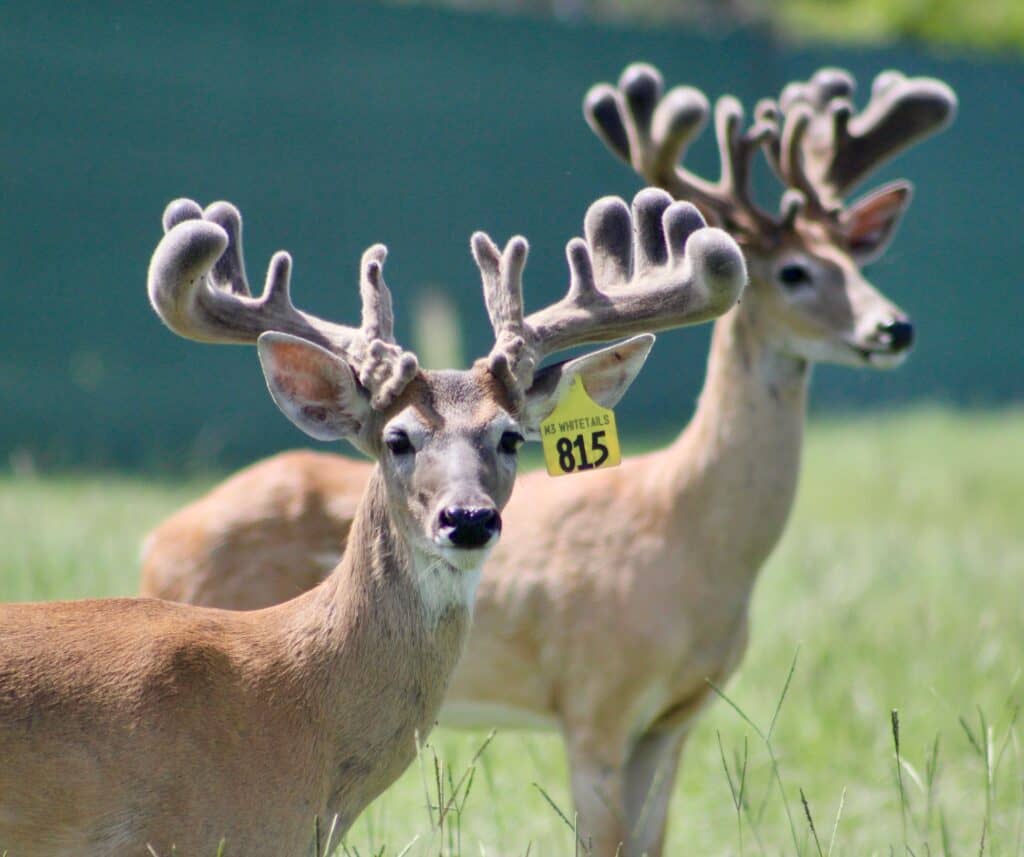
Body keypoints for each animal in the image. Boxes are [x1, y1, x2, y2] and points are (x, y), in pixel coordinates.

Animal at [137, 65, 956, 855]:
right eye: (793, 272)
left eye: (854, 258)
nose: (894, 327)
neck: (689, 531)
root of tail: (157, 539)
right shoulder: (596, 699)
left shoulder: (678, 715)